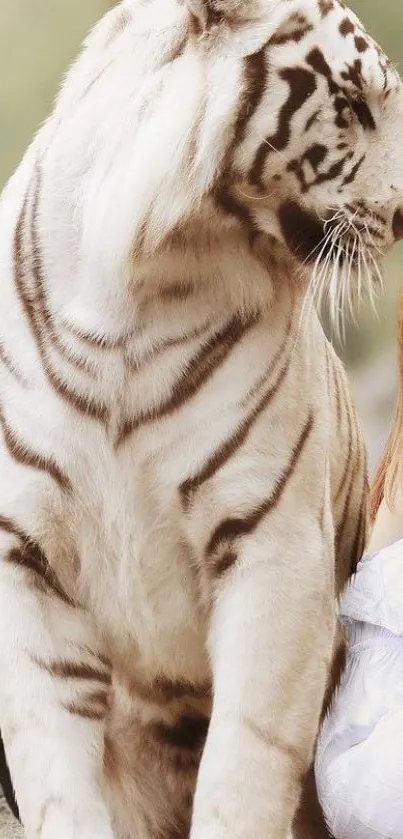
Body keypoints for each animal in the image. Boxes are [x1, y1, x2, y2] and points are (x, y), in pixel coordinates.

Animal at [0, 1, 402, 839]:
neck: (136, 287)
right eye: (354, 105)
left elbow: (244, 765)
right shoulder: (25, 556)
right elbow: (53, 767)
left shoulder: (273, 542)